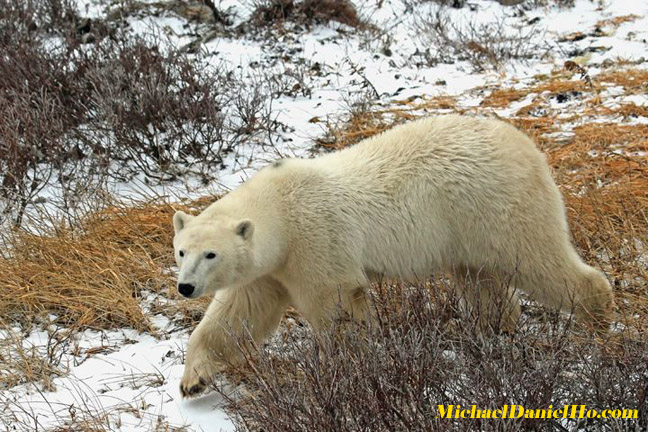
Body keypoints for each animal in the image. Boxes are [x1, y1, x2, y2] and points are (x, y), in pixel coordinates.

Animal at [172, 115, 612, 398]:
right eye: (181, 251)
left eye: (211, 254)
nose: (185, 287)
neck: (281, 207)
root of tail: (525, 145)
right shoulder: (271, 267)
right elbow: (239, 315)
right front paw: (194, 380)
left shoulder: (315, 239)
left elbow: (336, 303)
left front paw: (348, 371)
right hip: (467, 228)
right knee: (480, 280)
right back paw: (492, 333)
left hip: (496, 207)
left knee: (540, 261)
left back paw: (599, 318)